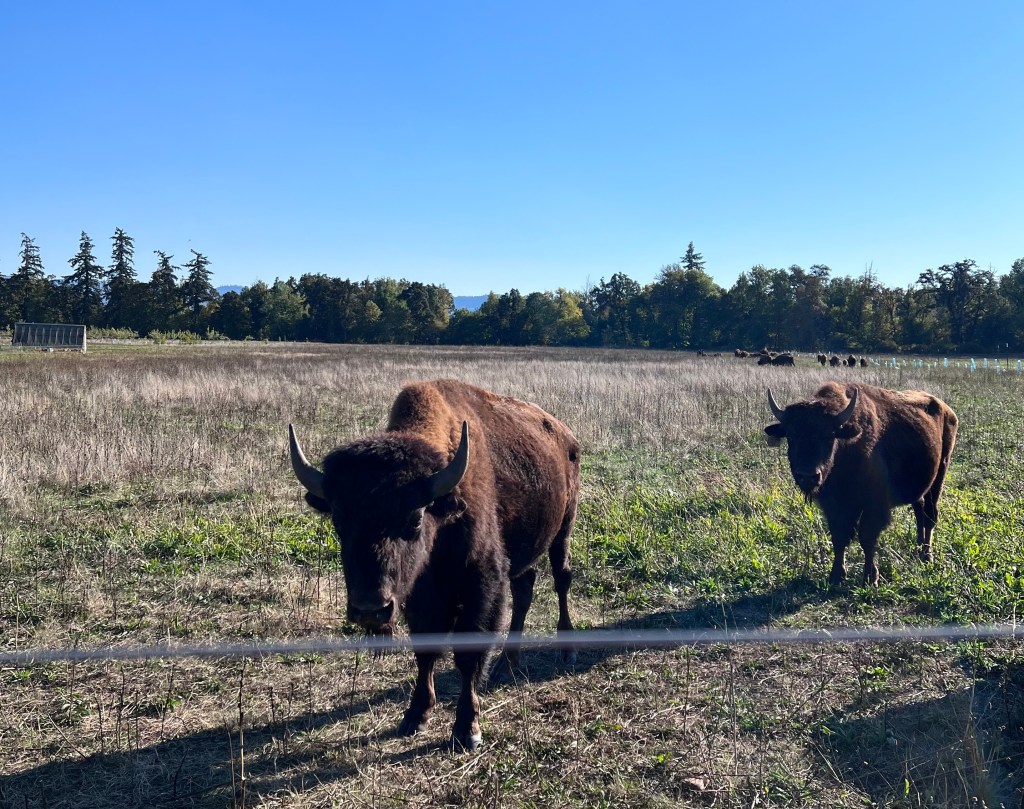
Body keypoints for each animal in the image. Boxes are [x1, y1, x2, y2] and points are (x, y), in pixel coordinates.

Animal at [289, 380, 580, 750]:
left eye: (415, 518)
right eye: (339, 520)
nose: (370, 609)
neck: (442, 513)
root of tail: (566, 435)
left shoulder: (482, 585)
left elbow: (468, 654)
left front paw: (468, 729)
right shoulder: (419, 595)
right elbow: (426, 648)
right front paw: (416, 715)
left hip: (564, 529)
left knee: (561, 580)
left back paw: (567, 648)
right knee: (525, 591)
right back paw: (507, 663)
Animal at [764, 382, 958, 586]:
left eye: (829, 435)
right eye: (790, 435)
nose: (807, 476)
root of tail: (948, 411)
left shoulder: (874, 505)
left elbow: (867, 538)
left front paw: (870, 578)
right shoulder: (834, 506)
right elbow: (839, 537)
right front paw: (836, 576)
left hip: (939, 475)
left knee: (930, 515)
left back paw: (926, 556)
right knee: (919, 512)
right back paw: (918, 550)